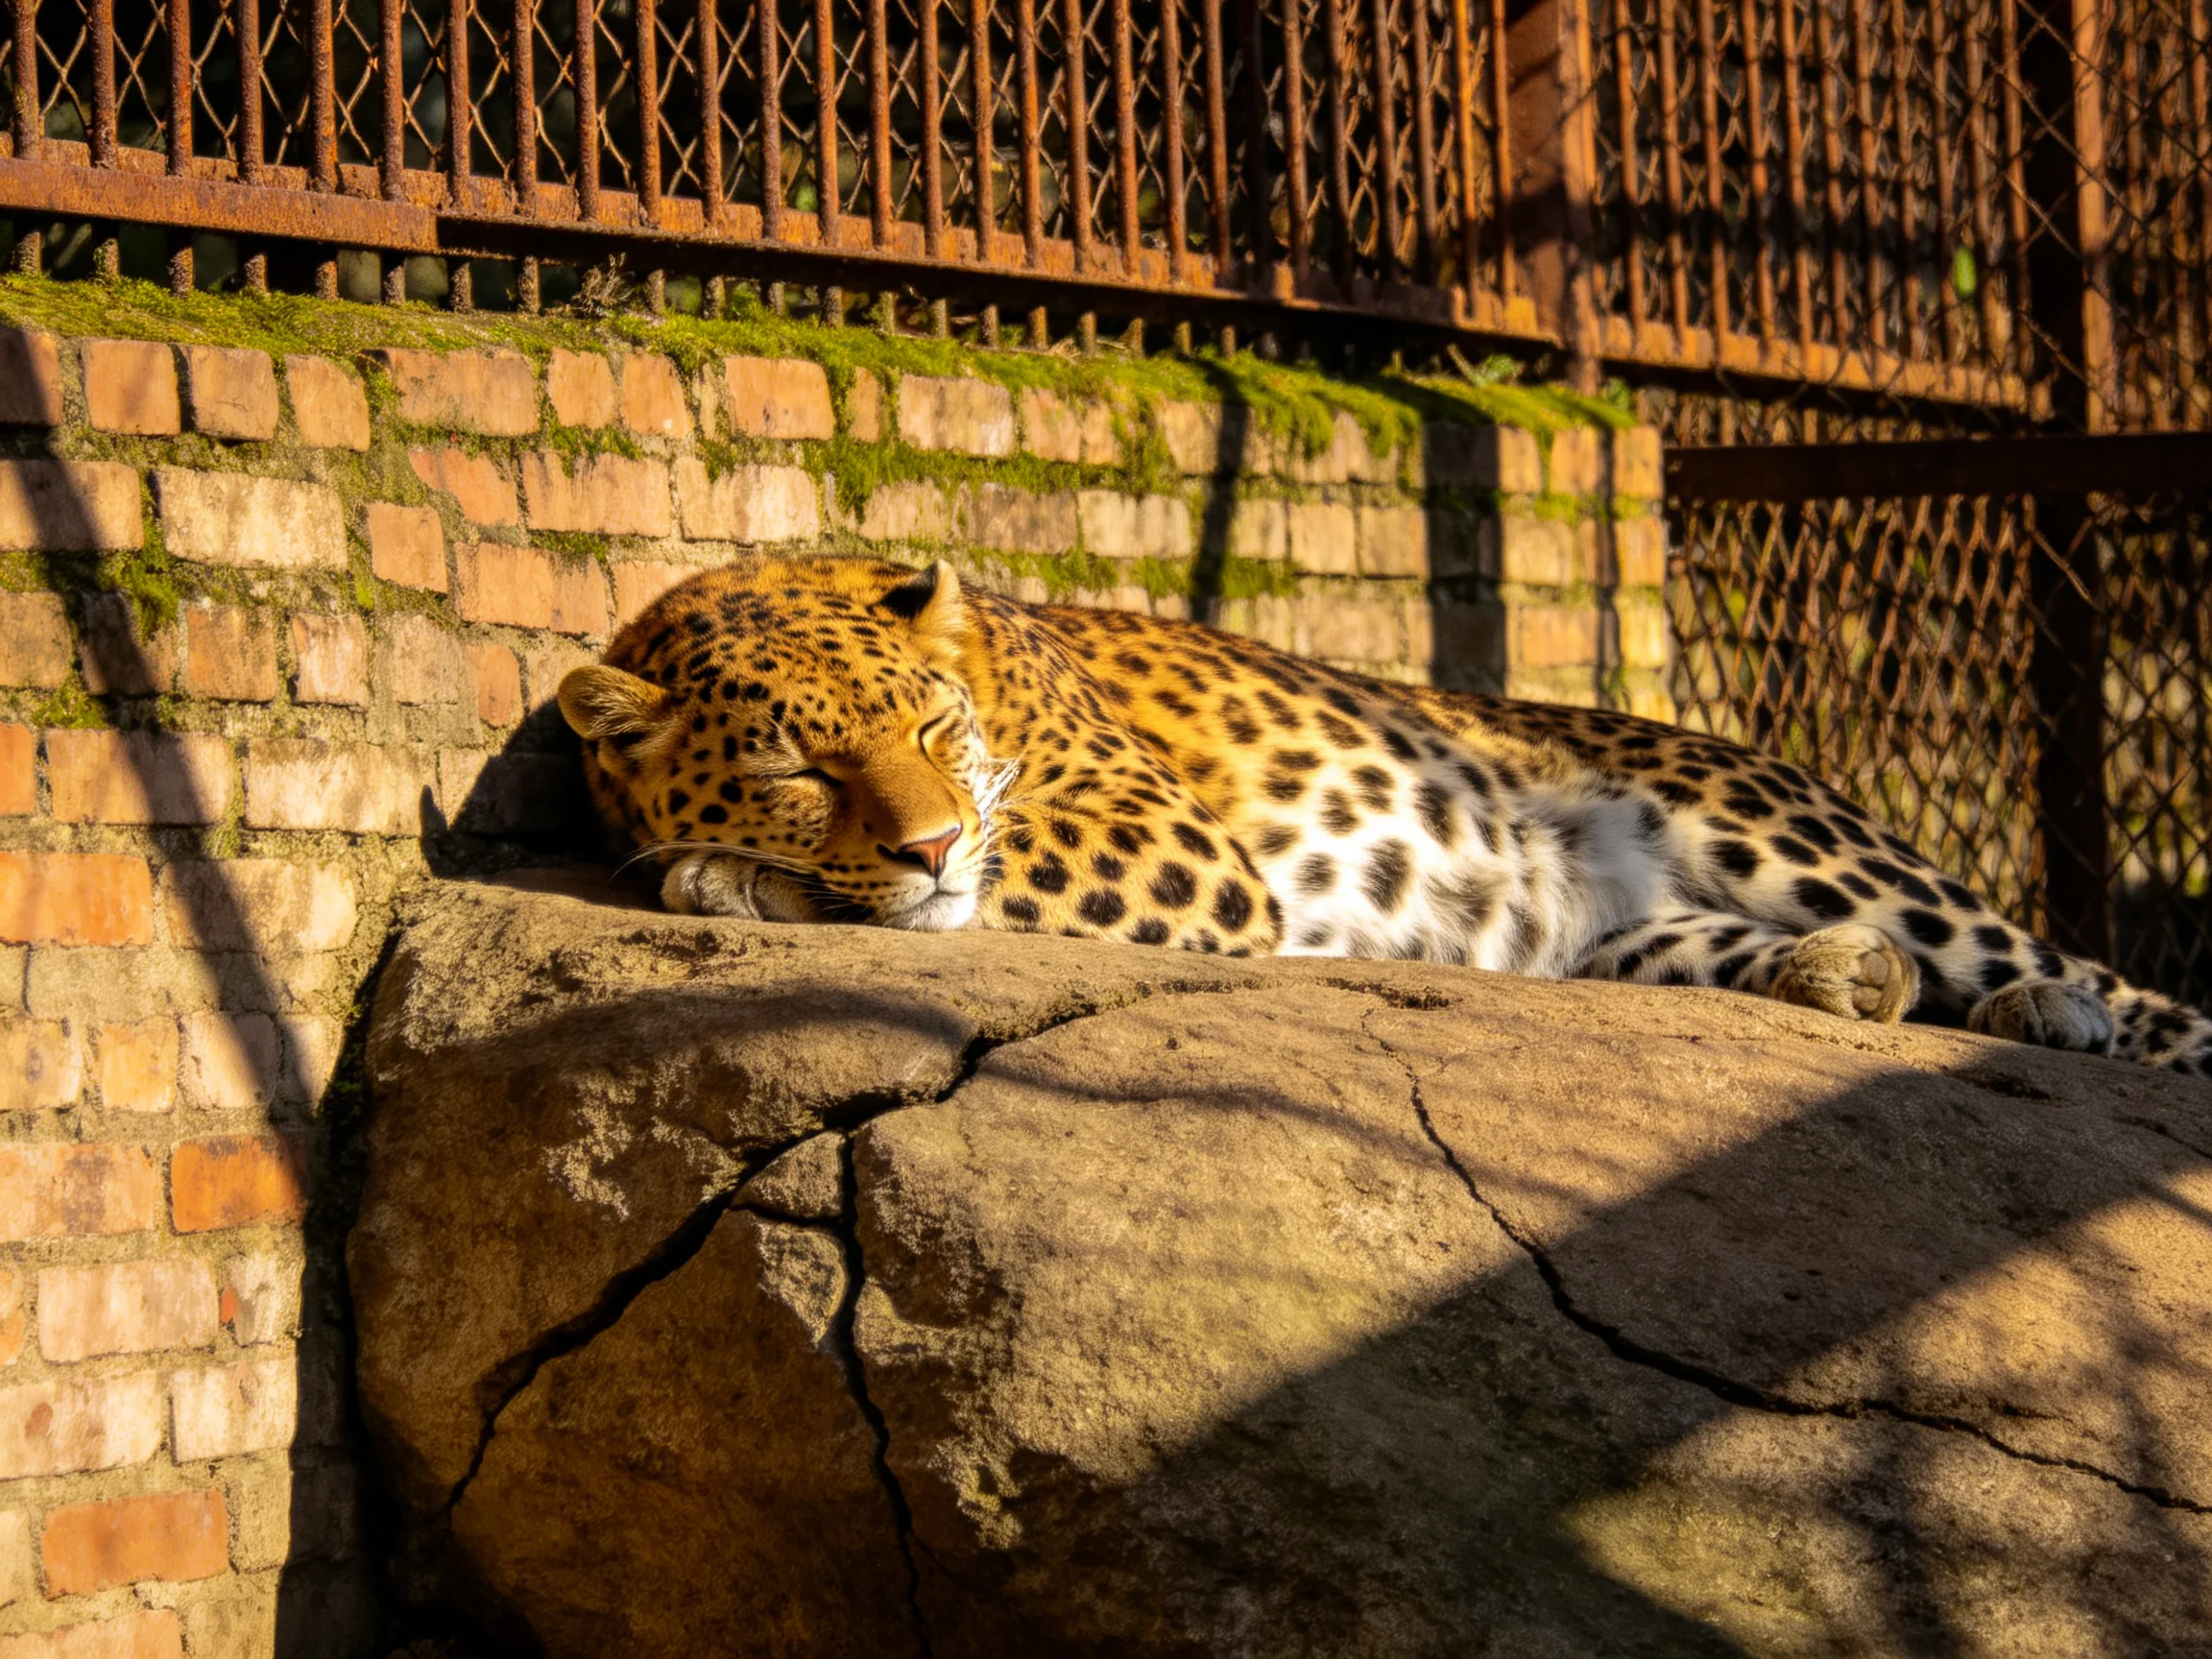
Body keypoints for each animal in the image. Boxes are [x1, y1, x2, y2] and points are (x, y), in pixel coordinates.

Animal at [558, 554, 2212, 1075]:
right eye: (797, 767)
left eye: (931, 730)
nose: (925, 838)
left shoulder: (1168, 840)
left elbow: (985, 879)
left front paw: (732, 883)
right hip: (1619, 935)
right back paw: (1851, 984)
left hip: (1777, 829)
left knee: (2086, 978)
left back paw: (2052, 1013)